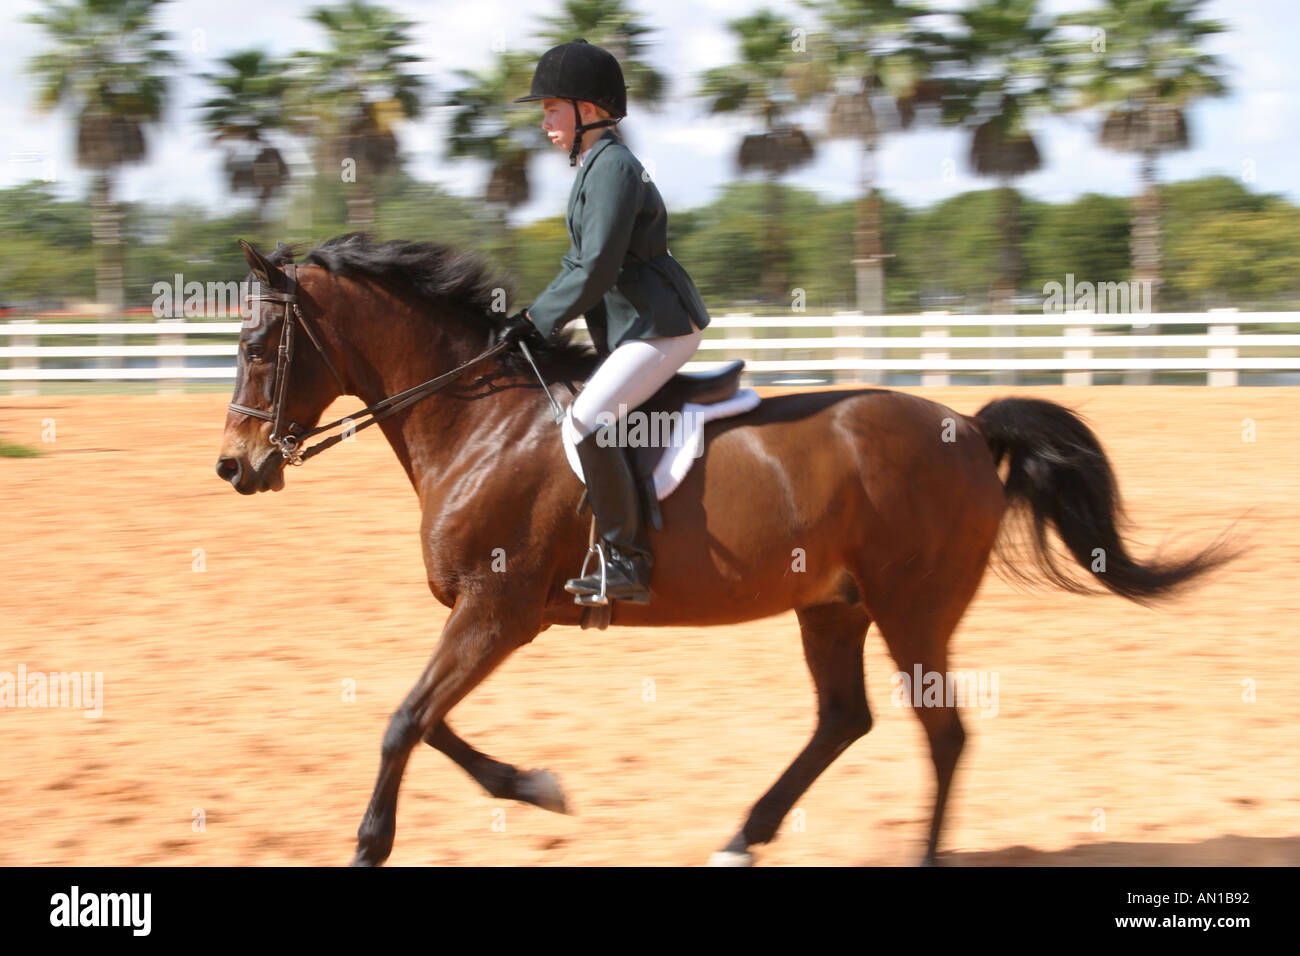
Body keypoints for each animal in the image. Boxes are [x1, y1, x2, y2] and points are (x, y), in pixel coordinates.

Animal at [215, 233, 1232, 866]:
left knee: (941, 735)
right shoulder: (494, 616)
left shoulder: (496, 611)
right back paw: (743, 836)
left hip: (912, 611)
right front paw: (536, 787)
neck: (479, 421)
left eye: (260, 343)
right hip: (835, 607)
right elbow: (429, 723)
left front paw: (373, 842)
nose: (235, 465)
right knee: (844, 721)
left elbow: (404, 722)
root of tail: (970, 429)